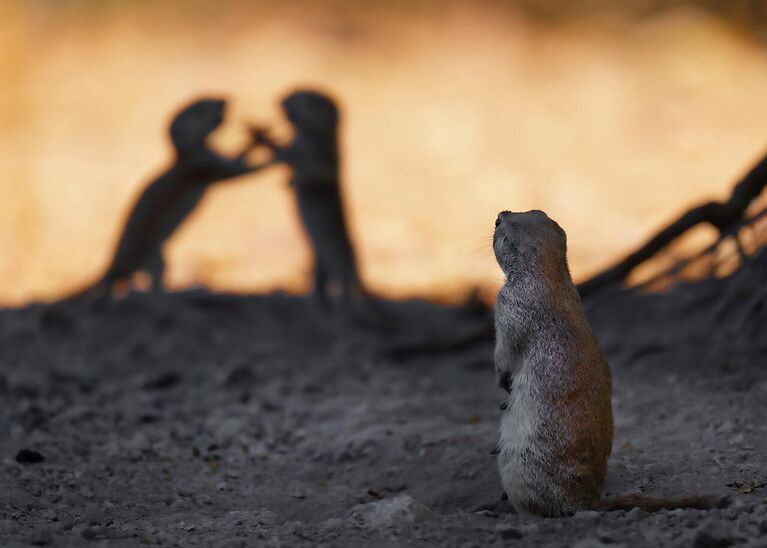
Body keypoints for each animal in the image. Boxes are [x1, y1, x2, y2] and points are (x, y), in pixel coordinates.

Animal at [73, 98, 270, 300]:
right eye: (202, 106)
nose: (225, 99)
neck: (184, 156)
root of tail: (113, 265)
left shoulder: (211, 157)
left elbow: (236, 157)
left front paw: (256, 139)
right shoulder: (204, 165)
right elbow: (237, 172)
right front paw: (270, 159)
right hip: (150, 256)